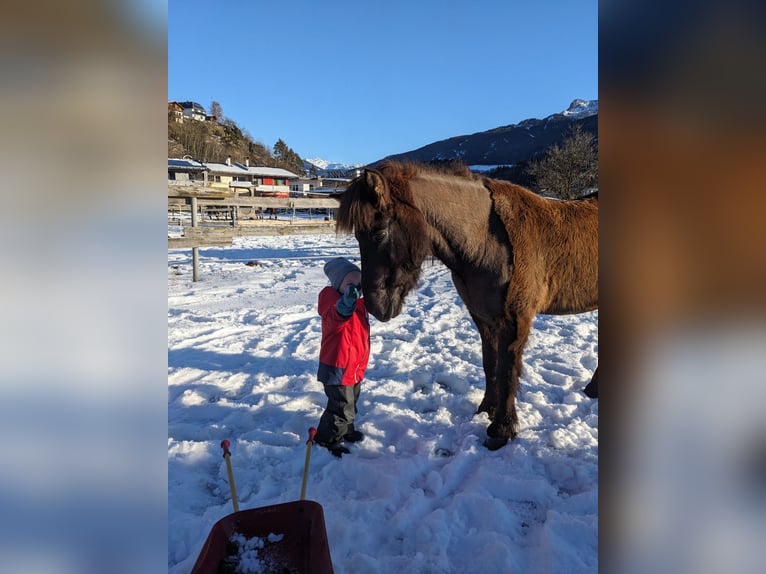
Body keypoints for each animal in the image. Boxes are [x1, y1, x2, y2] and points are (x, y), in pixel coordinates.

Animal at [336, 160, 598, 450]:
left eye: (379, 232)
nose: (376, 306)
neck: (486, 241)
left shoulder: (515, 320)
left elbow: (507, 371)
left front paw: (501, 430)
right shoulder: (484, 318)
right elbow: (490, 363)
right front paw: (487, 409)